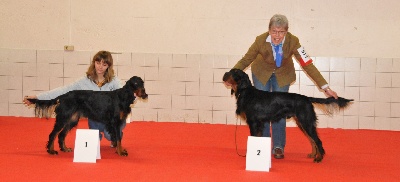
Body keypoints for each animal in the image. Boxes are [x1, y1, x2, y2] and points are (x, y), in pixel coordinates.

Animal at [222, 69, 354, 163]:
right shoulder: (259, 123)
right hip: (302, 123)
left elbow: (254, 137)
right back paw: (313, 154)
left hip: (306, 122)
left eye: (235, 72)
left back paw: (319, 158)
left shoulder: (253, 122)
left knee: (317, 140)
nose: (224, 74)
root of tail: (307, 98)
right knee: (312, 140)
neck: (246, 92)